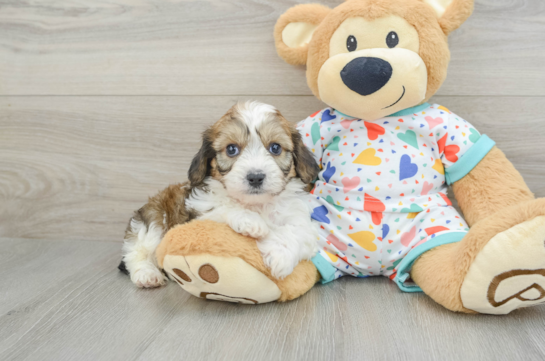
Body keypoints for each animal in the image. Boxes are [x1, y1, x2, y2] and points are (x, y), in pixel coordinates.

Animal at [120, 100, 318, 286]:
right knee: (137, 251)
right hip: (153, 219)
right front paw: (250, 221)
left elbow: (298, 231)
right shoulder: (198, 214)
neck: (256, 204)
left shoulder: (301, 220)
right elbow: (222, 208)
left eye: (275, 148)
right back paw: (147, 274)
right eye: (231, 149)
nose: (255, 177)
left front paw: (280, 257)